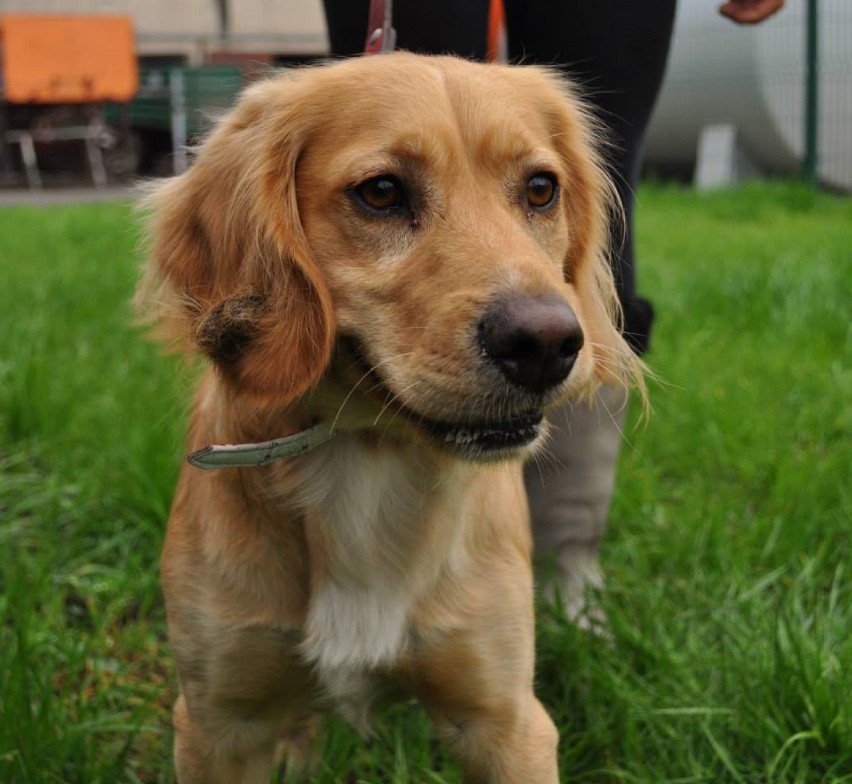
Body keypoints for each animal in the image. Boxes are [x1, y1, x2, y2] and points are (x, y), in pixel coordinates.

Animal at [138, 52, 640, 780]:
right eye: (380, 192)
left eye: (541, 189)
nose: (547, 345)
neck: (366, 454)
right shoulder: (218, 724)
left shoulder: (506, 721)